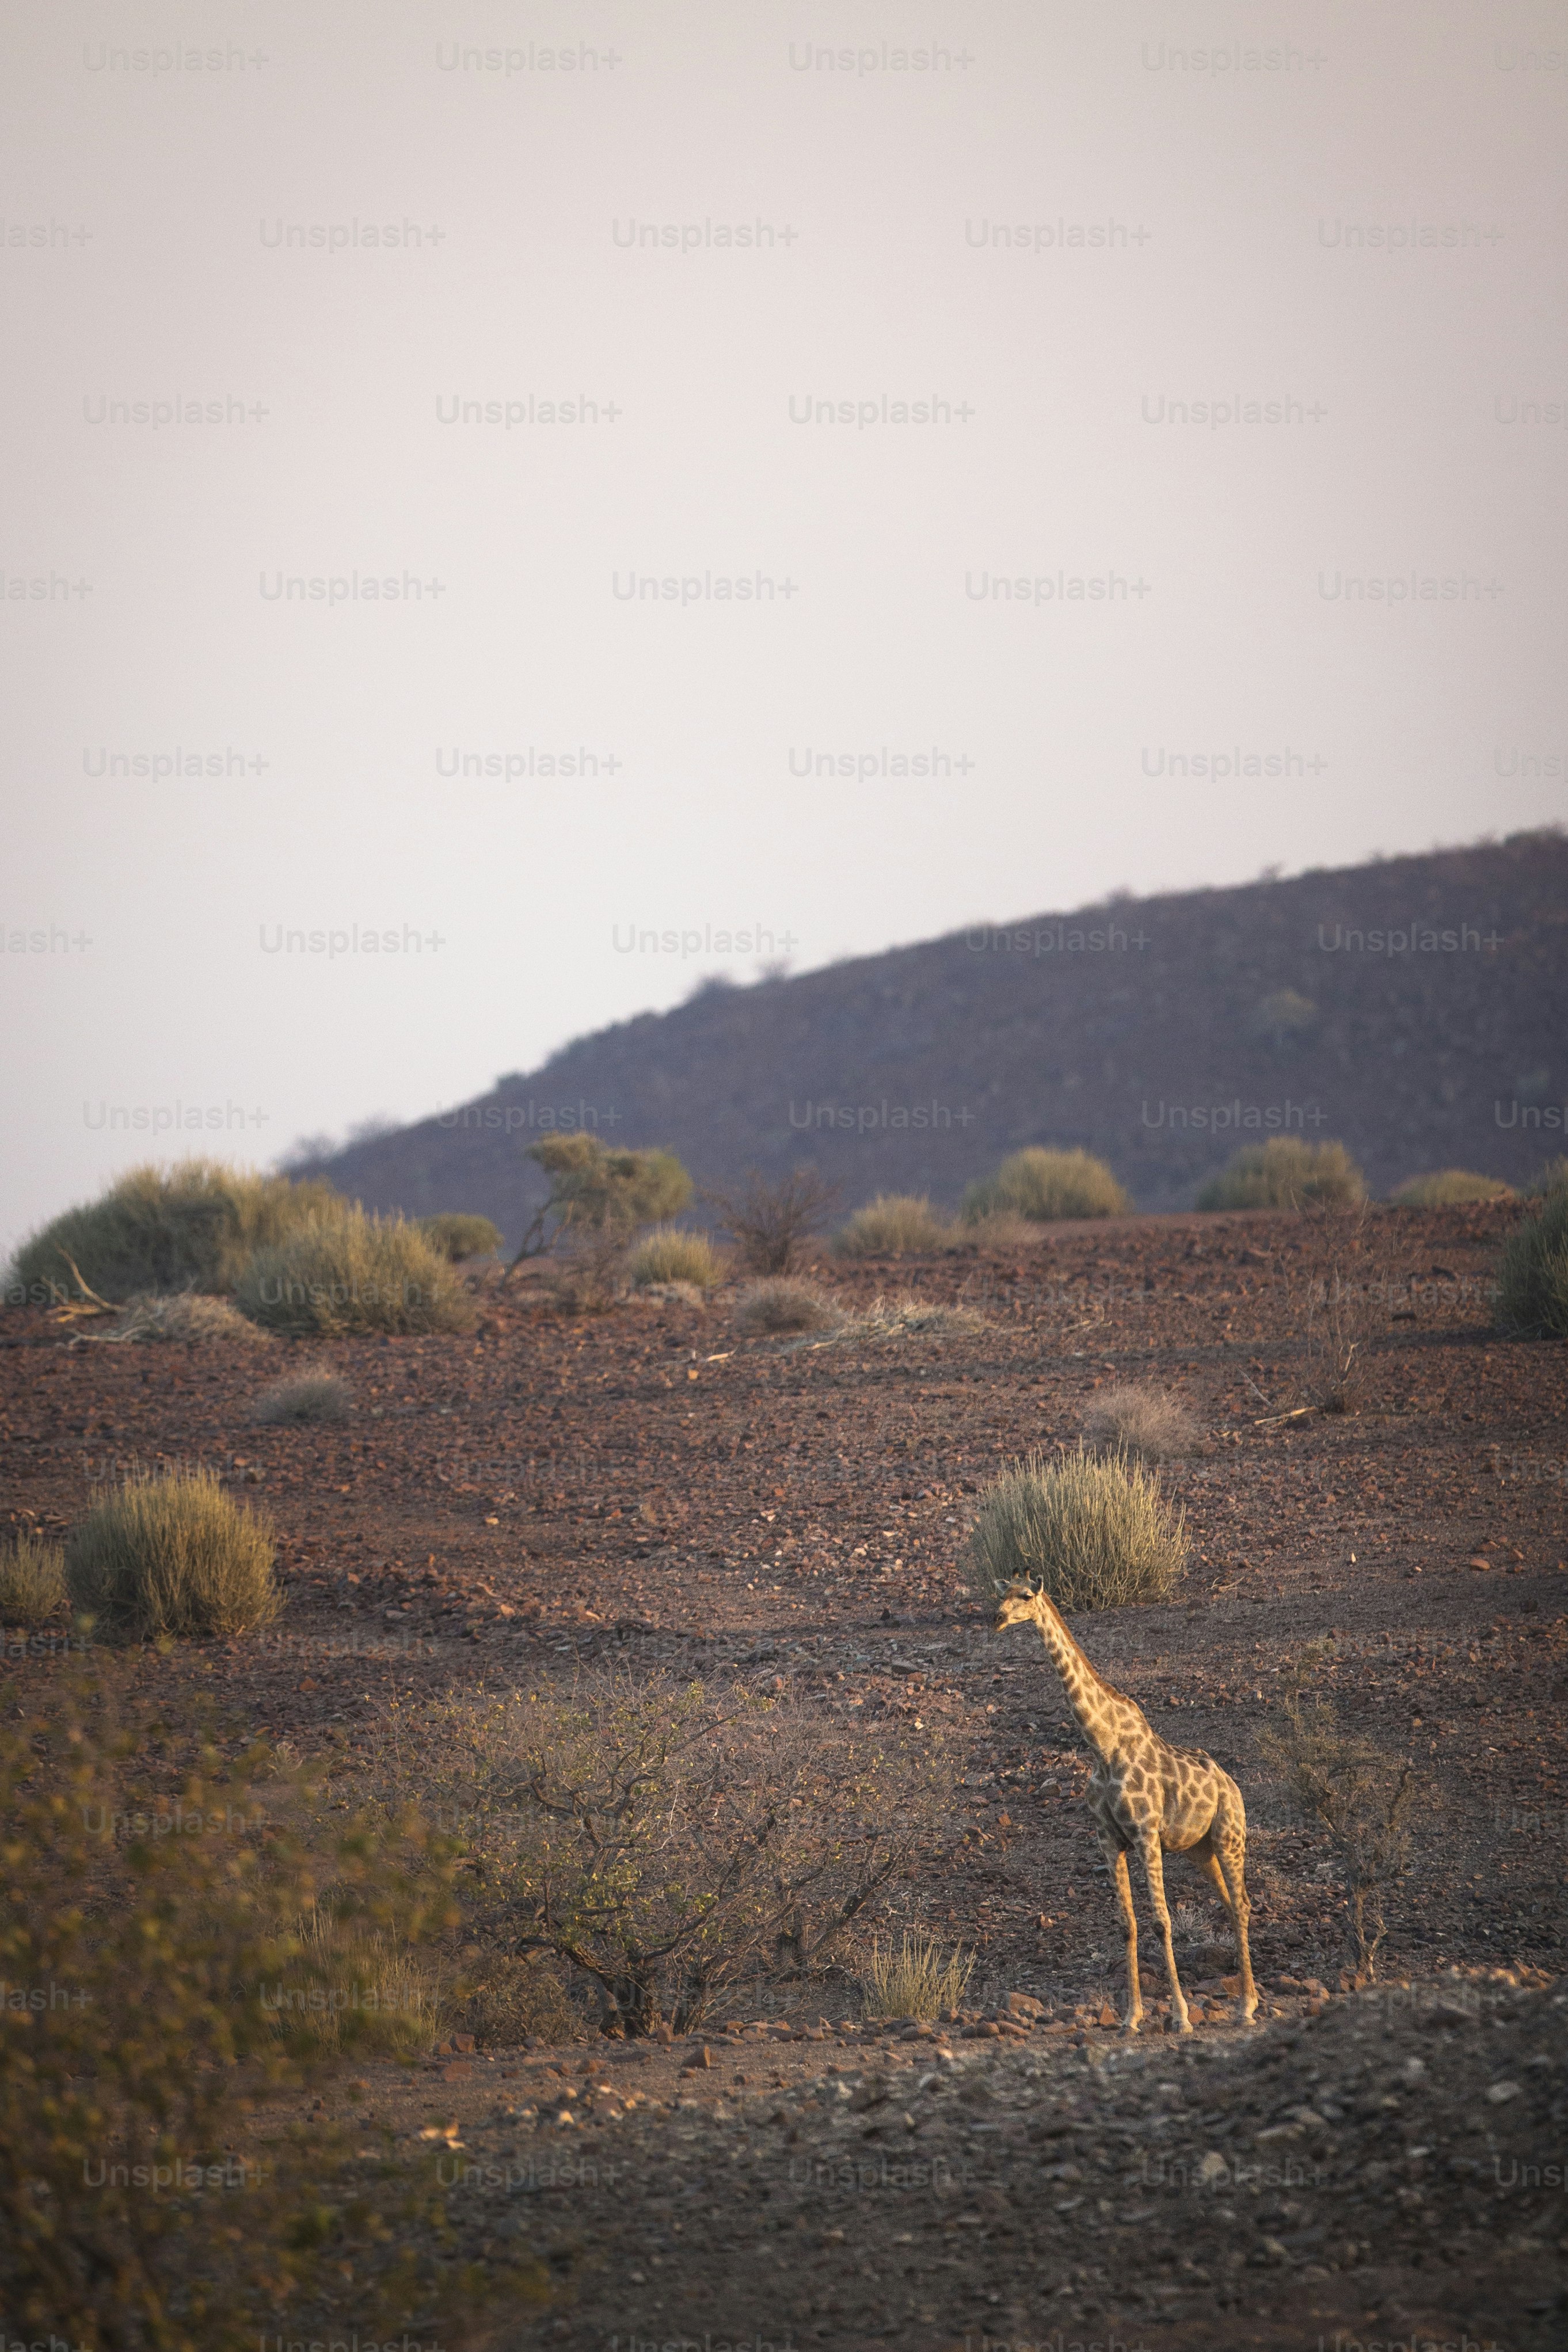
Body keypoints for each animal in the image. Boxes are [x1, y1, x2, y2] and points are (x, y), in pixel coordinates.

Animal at [994, 1580, 1257, 2032]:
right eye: (1003, 1593)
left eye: (1025, 1596)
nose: (997, 1617)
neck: (1103, 1745)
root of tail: (1232, 1785)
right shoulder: (1108, 1838)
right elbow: (1127, 1925)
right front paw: (1130, 2017)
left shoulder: (1146, 1834)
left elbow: (1161, 1922)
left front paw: (1180, 2017)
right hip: (1200, 1850)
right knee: (1231, 1904)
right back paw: (1246, 1999)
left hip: (1230, 1835)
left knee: (1241, 1906)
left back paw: (1247, 2007)